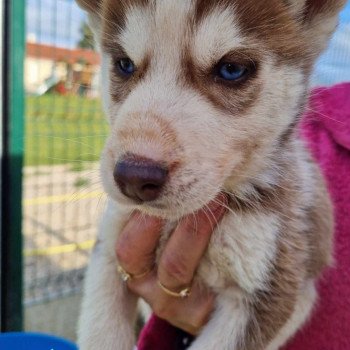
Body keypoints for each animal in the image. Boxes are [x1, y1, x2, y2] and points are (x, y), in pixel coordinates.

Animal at [74, 1, 344, 348]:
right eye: (124, 64)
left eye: (231, 69)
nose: (134, 176)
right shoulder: (111, 245)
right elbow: (100, 331)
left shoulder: (274, 286)